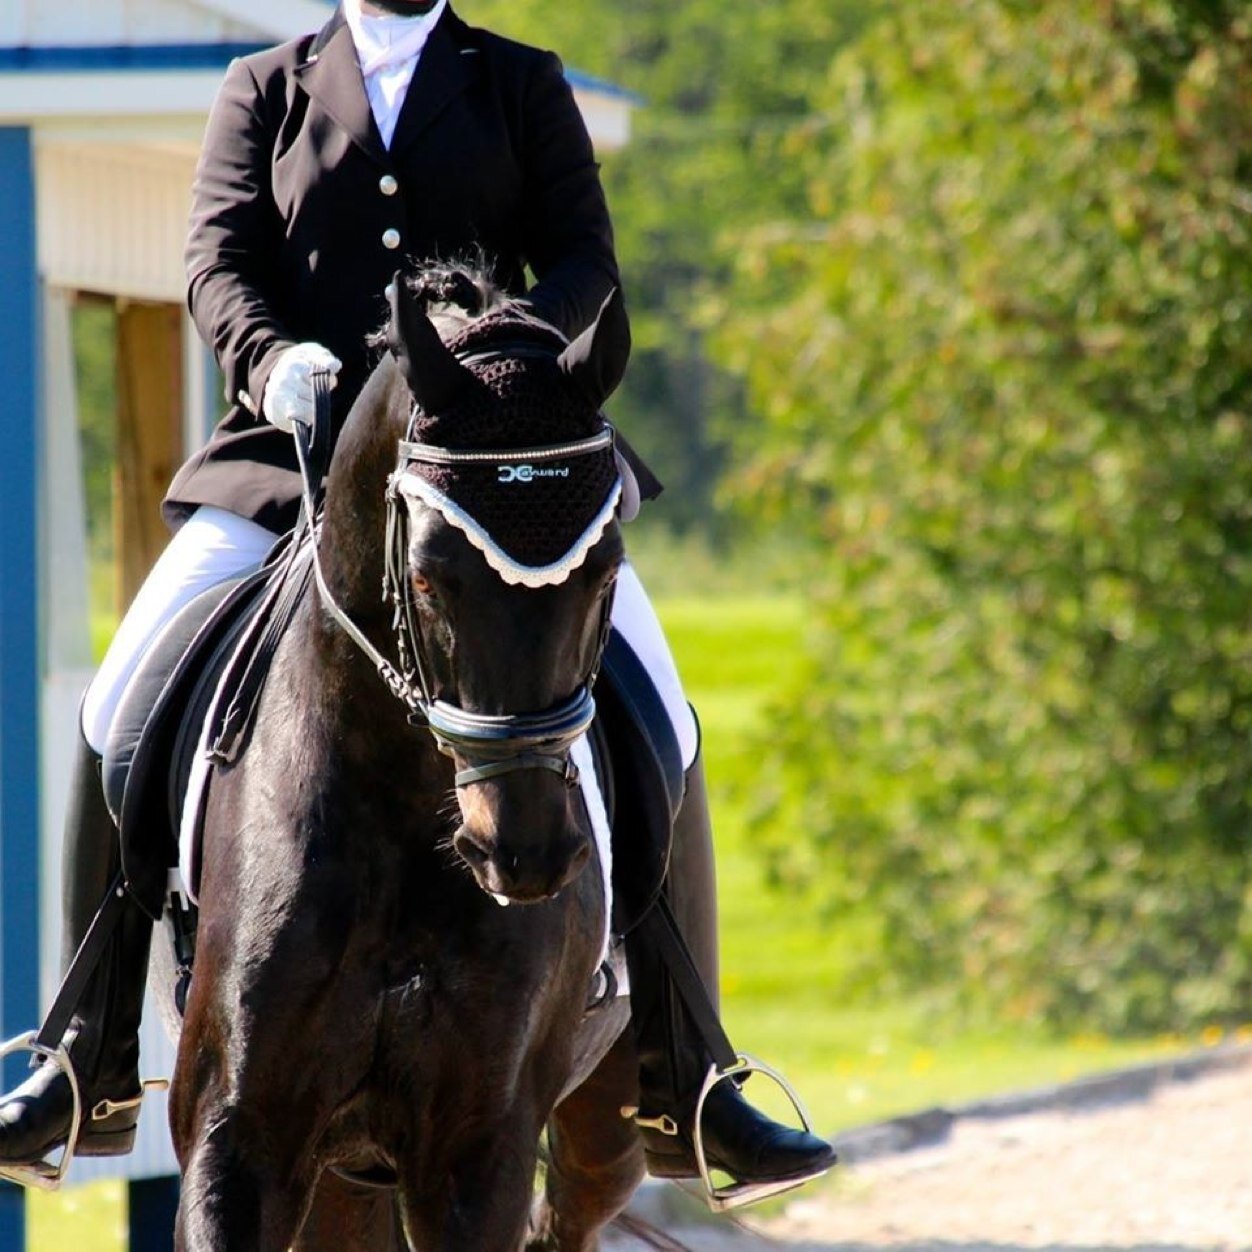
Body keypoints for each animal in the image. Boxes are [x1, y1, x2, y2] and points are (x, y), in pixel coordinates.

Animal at [166, 268, 647, 1250]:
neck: (394, 798)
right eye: (429, 575)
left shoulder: (478, 1151)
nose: (525, 850)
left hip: (600, 1134)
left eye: (606, 570)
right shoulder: (235, 1139)